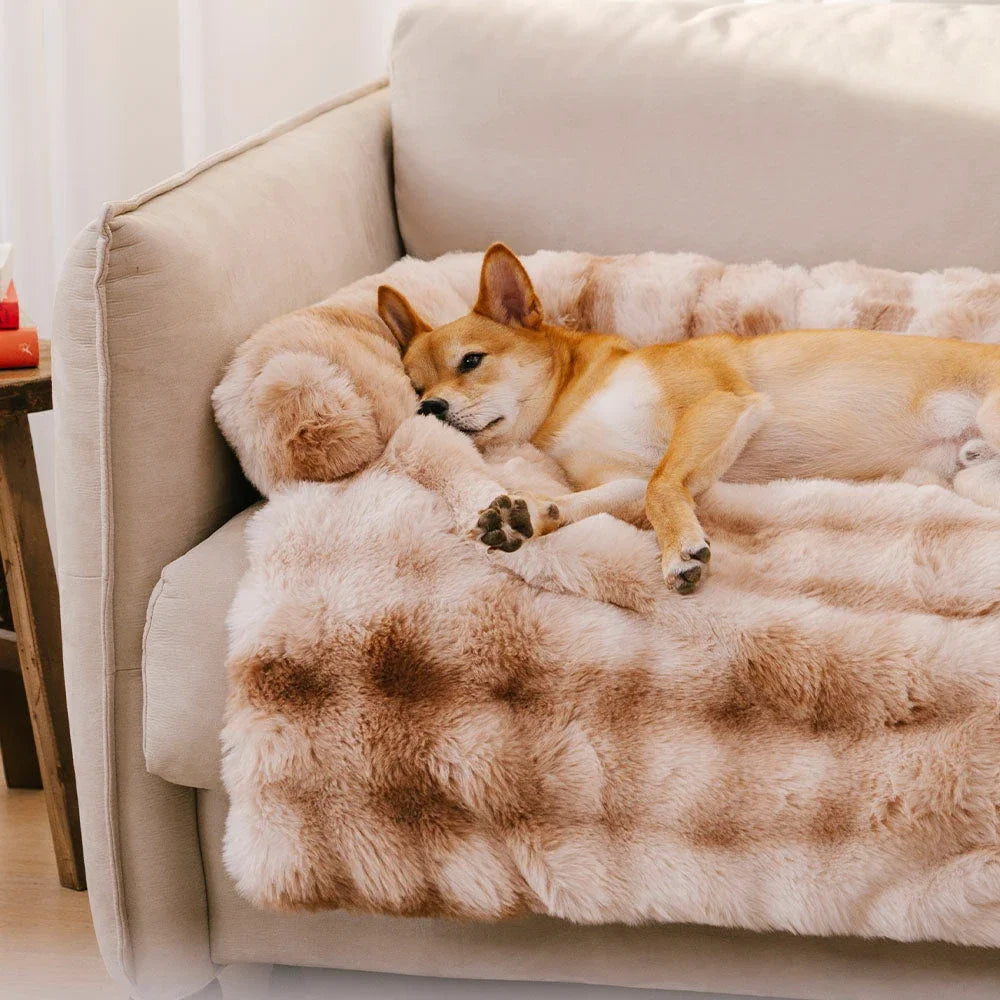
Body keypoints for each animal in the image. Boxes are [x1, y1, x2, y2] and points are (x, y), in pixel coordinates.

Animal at [376, 243, 1000, 592]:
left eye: (471, 362)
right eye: (416, 386)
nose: (428, 408)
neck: (574, 396)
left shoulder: (716, 406)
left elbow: (663, 484)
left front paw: (679, 548)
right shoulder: (622, 479)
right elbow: (597, 499)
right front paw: (526, 514)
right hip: (969, 479)